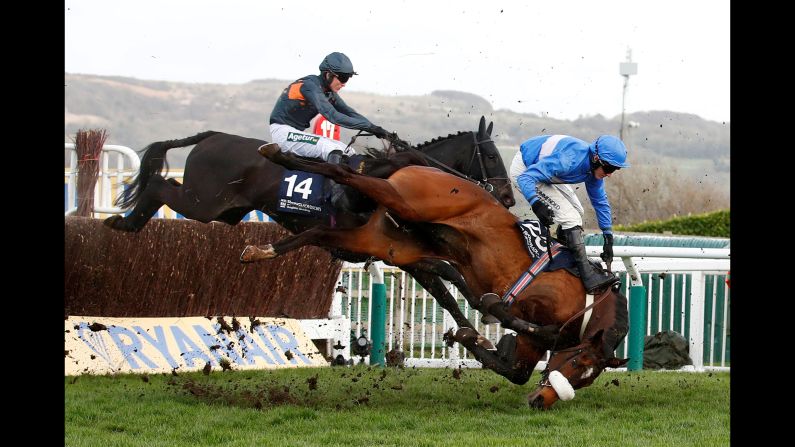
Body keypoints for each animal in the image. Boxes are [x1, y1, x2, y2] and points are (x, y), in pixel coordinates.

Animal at [253, 147, 628, 410]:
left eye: (584, 379)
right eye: (577, 361)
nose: (540, 402)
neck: (589, 305)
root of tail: (422, 164)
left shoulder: (530, 343)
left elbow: (517, 370)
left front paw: (471, 338)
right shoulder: (529, 303)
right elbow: (508, 315)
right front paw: (473, 331)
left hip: (387, 242)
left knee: (318, 232)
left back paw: (261, 250)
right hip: (407, 203)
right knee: (344, 173)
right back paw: (279, 155)